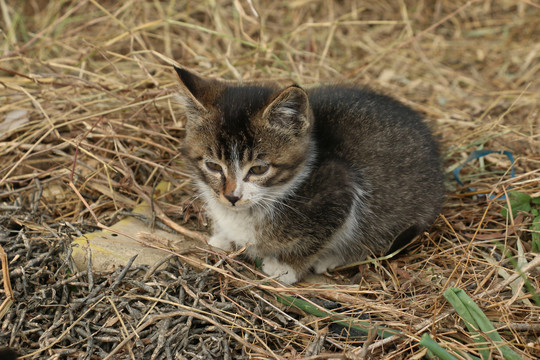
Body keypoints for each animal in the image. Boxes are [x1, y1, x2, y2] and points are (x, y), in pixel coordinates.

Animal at [175, 66, 446, 282]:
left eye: (259, 169)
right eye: (213, 166)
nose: (232, 197)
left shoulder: (340, 188)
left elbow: (314, 239)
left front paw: (287, 268)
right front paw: (223, 237)